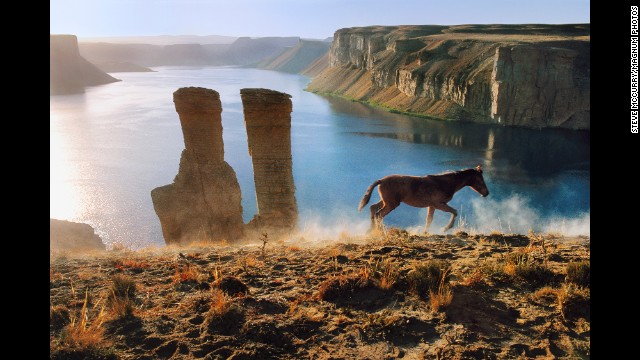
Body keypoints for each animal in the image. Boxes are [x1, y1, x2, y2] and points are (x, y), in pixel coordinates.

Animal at [358, 166, 488, 233]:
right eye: (480, 180)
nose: (486, 193)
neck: (445, 183)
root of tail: (381, 180)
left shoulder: (432, 205)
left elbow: (429, 219)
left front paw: (425, 233)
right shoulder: (439, 204)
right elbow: (454, 212)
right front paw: (445, 228)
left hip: (387, 201)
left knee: (373, 208)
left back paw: (371, 230)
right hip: (392, 203)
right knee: (379, 214)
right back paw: (380, 231)